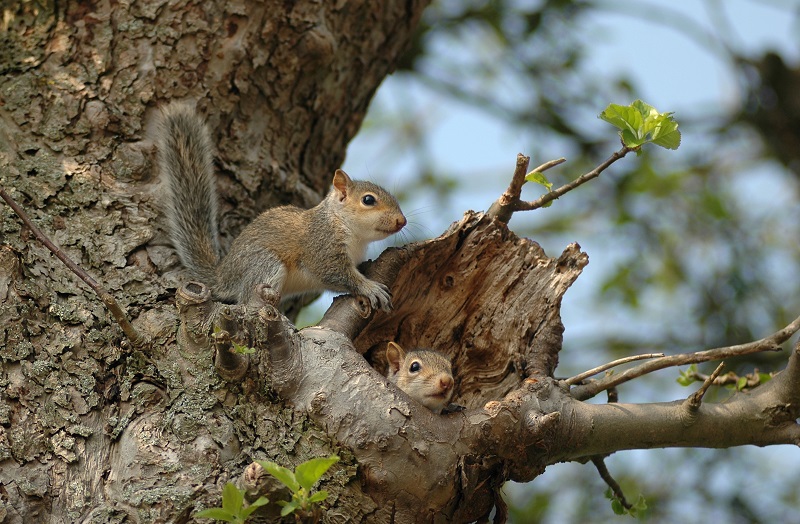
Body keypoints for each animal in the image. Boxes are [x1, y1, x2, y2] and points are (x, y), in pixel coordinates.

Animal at [156, 103, 406, 310]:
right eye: (368, 200)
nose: (402, 221)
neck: (350, 231)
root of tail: (222, 275)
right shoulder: (322, 246)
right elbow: (336, 274)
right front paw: (369, 288)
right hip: (264, 264)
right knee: (246, 299)